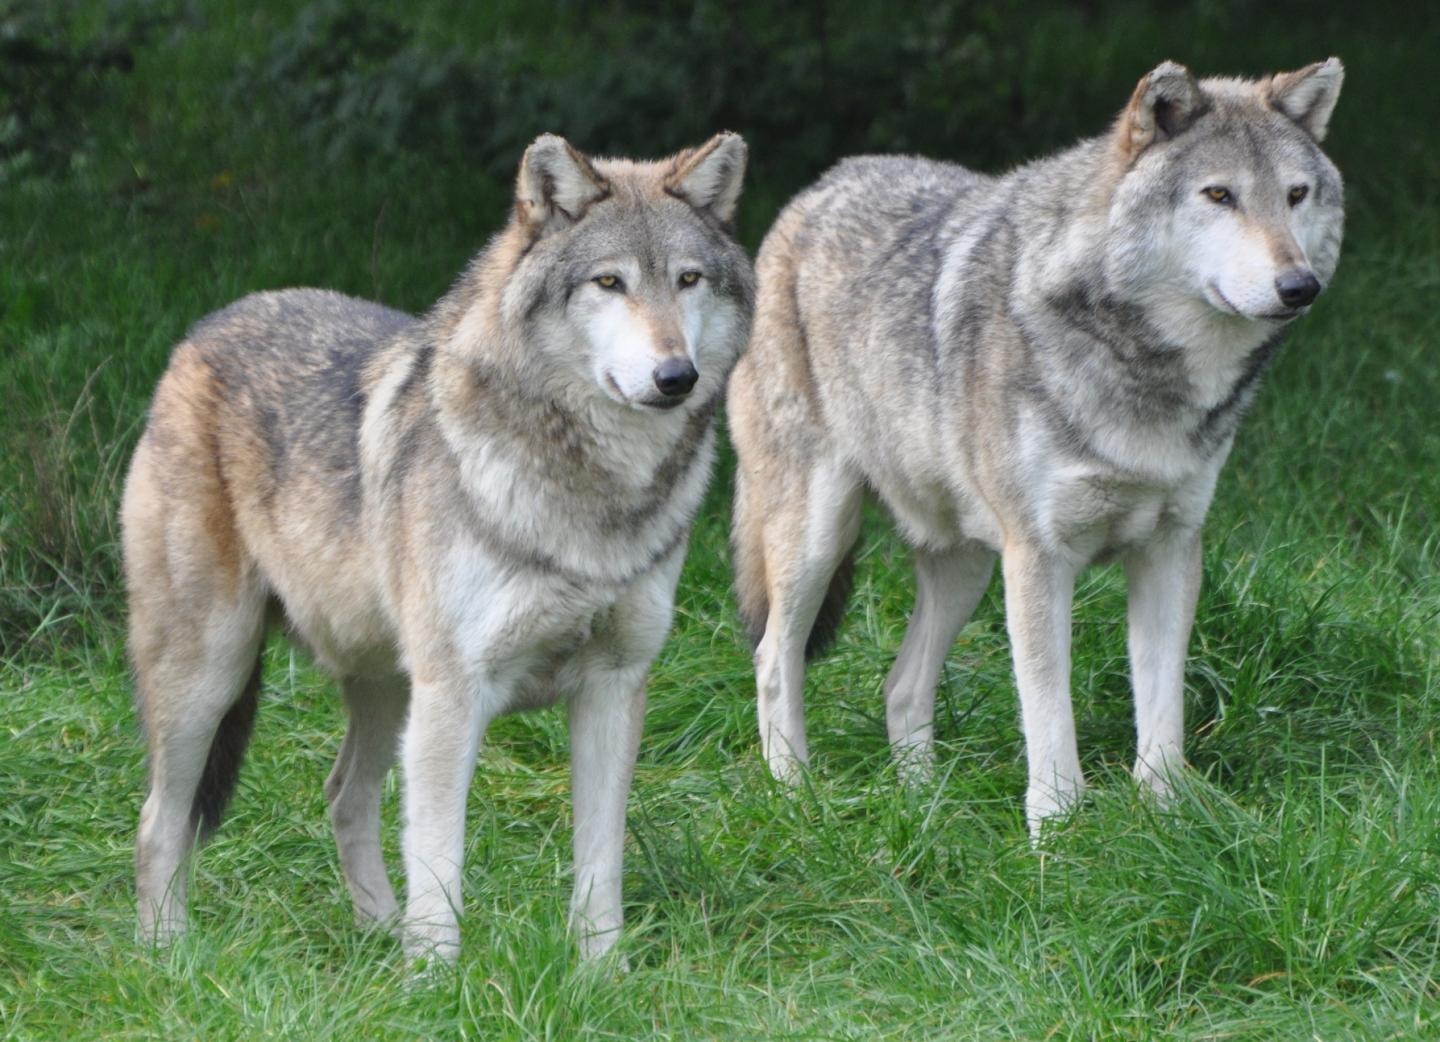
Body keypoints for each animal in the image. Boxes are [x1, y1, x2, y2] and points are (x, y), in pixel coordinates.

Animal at [123, 131, 753, 960]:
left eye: (688, 280)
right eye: (610, 283)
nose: (675, 375)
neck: (590, 497)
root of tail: (198, 334)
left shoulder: (614, 686)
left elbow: (599, 869)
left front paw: (601, 974)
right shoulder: (456, 694)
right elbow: (440, 874)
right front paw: (436, 979)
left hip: (388, 688)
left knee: (341, 797)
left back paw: (376, 936)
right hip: (213, 676)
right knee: (159, 820)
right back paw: (167, 956)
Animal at [729, 60, 1344, 834]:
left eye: (1295, 195)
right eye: (1219, 195)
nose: (1300, 286)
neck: (1142, 372)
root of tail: (812, 193)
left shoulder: (1171, 549)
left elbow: (1163, 709)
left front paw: (1167, 817)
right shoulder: (1040, 559)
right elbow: (1050, 714)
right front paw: (1056, 832)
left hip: (964, 568)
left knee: (899, 685)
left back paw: (923, 805)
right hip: (819, 537)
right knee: (773, 660)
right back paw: (796, 796)